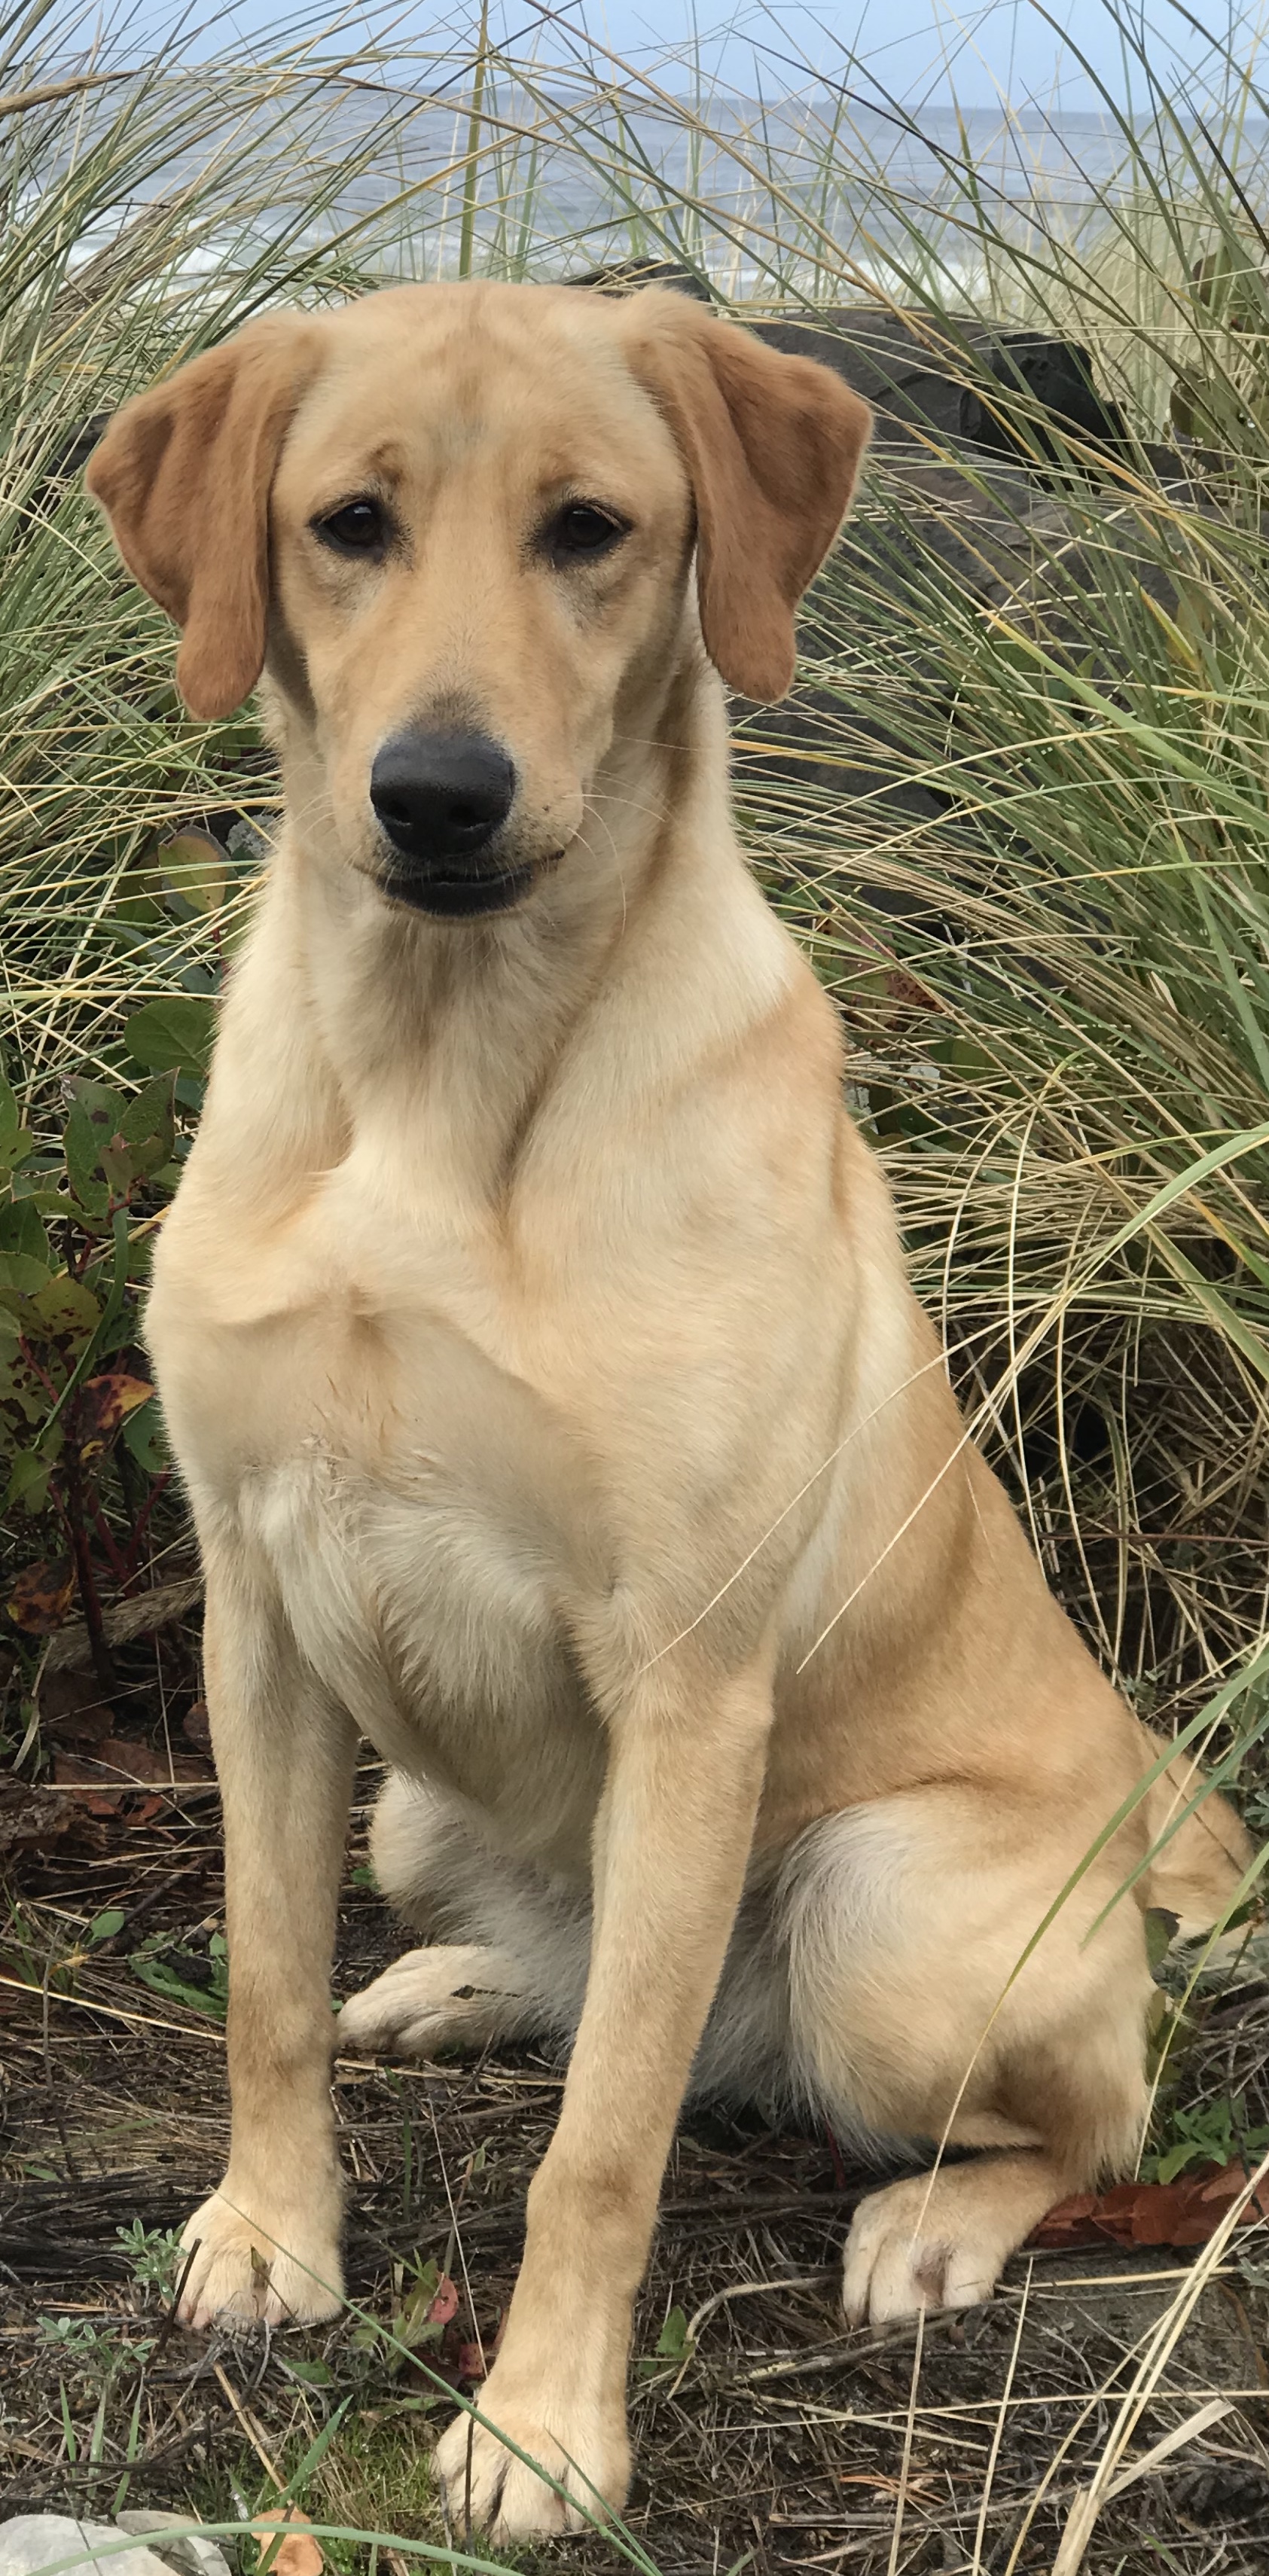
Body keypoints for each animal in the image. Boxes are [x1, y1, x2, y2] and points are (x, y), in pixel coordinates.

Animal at [87, 282, 1246, 2535]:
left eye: (589, 529)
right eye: (347, 522)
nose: (438, 793)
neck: (439, 1068)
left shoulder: (687, 1685)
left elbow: (600, 2145)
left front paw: (542, 2424)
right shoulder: (256, 1610)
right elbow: (261, 1987)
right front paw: (268, 2233)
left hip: (883, 1914)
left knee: (1075, 2116)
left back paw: (938, 2221)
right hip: (415, 1805)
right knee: (581, 1985)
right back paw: (455, 1983)